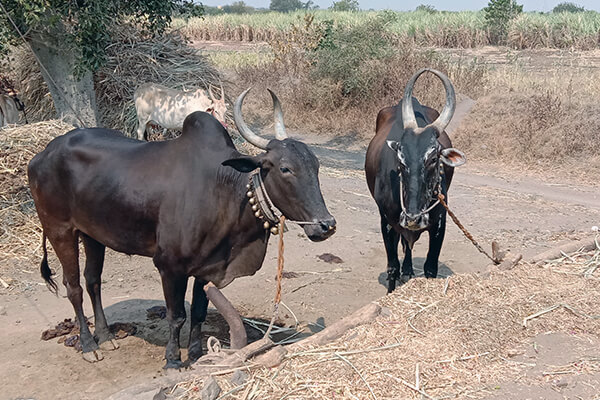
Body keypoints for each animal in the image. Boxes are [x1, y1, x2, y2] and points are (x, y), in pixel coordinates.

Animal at [28, 88, 336, 368]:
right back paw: (89, 345)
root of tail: (41, 155)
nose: (326, 225)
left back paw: (105, 336)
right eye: (285, 169)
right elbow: (176, 316)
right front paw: (173, 360)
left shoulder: (207, 267)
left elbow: (199, 312)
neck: (224, 190)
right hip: (59, 230)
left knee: (93, 281)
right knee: (74, 287)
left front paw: (198, 354)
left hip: (93, 234)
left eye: (316, 166)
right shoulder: (169, 266)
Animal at [364, 69, 466, 292]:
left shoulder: (440, 224)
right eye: (400, 159)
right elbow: (392, 266)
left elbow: (430, 268)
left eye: (434, 159)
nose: (413, 218)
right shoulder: (387, 222)